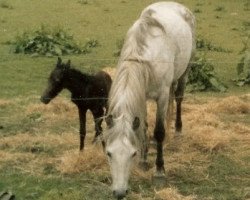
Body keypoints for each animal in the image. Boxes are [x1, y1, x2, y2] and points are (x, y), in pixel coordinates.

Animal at [103, 1, 195, 198]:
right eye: (109, 153)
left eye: (132, 153)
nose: (119, 193)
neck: (144, 57)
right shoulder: (142, 95)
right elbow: (143, 127)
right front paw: (144, 161)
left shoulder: (162, 96)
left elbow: (159, 131)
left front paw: (159, 171)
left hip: (186, 70)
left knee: (179, 97)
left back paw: (177, 129)